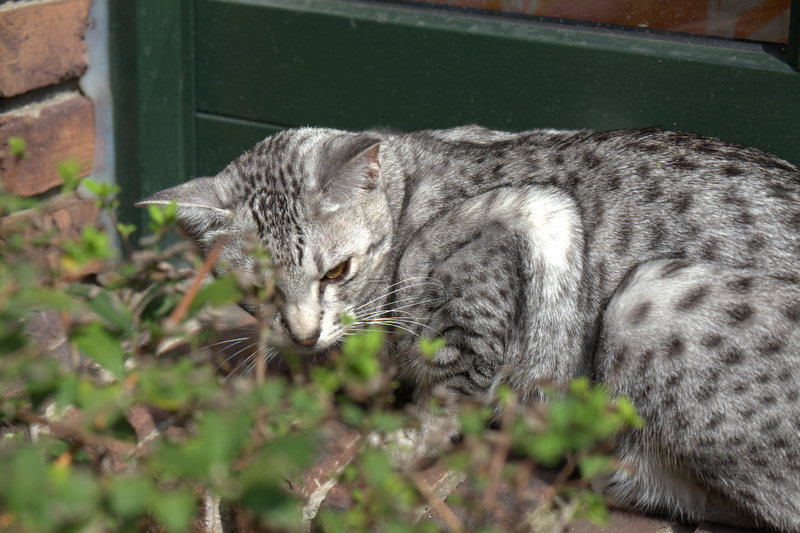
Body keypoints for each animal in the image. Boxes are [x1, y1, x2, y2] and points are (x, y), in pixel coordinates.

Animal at [138, 123, 800, 528]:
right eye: (257, 291)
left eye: (337, 270)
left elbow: (453, 390)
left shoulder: (532, 224)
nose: (302, 334)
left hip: (650, 299)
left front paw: (397, 443)